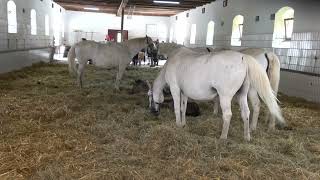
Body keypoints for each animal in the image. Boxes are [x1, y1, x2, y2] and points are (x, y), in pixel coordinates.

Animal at [148, 47, 284, 141]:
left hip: (226, 96)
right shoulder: (184, 92)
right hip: (242, 94)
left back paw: (223, 137)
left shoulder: (175, 88)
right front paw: (183, 123)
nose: (153, 111)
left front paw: (177, 125)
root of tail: (244, 58)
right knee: (247, 113)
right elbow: (183, 108)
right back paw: (247, 136)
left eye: (149, 97)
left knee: (228, 114)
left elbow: (177, 108)